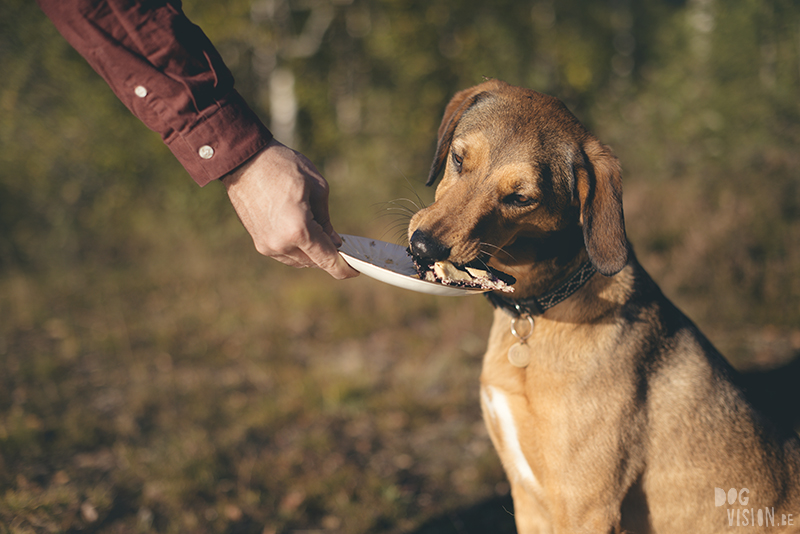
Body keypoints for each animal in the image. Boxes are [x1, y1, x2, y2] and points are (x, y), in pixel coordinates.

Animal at [410, 80, 796, 534]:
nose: (422, 247)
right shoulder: (526, 498)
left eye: (520, 198)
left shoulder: (585, 507)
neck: (537, 310)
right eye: (458, 158)